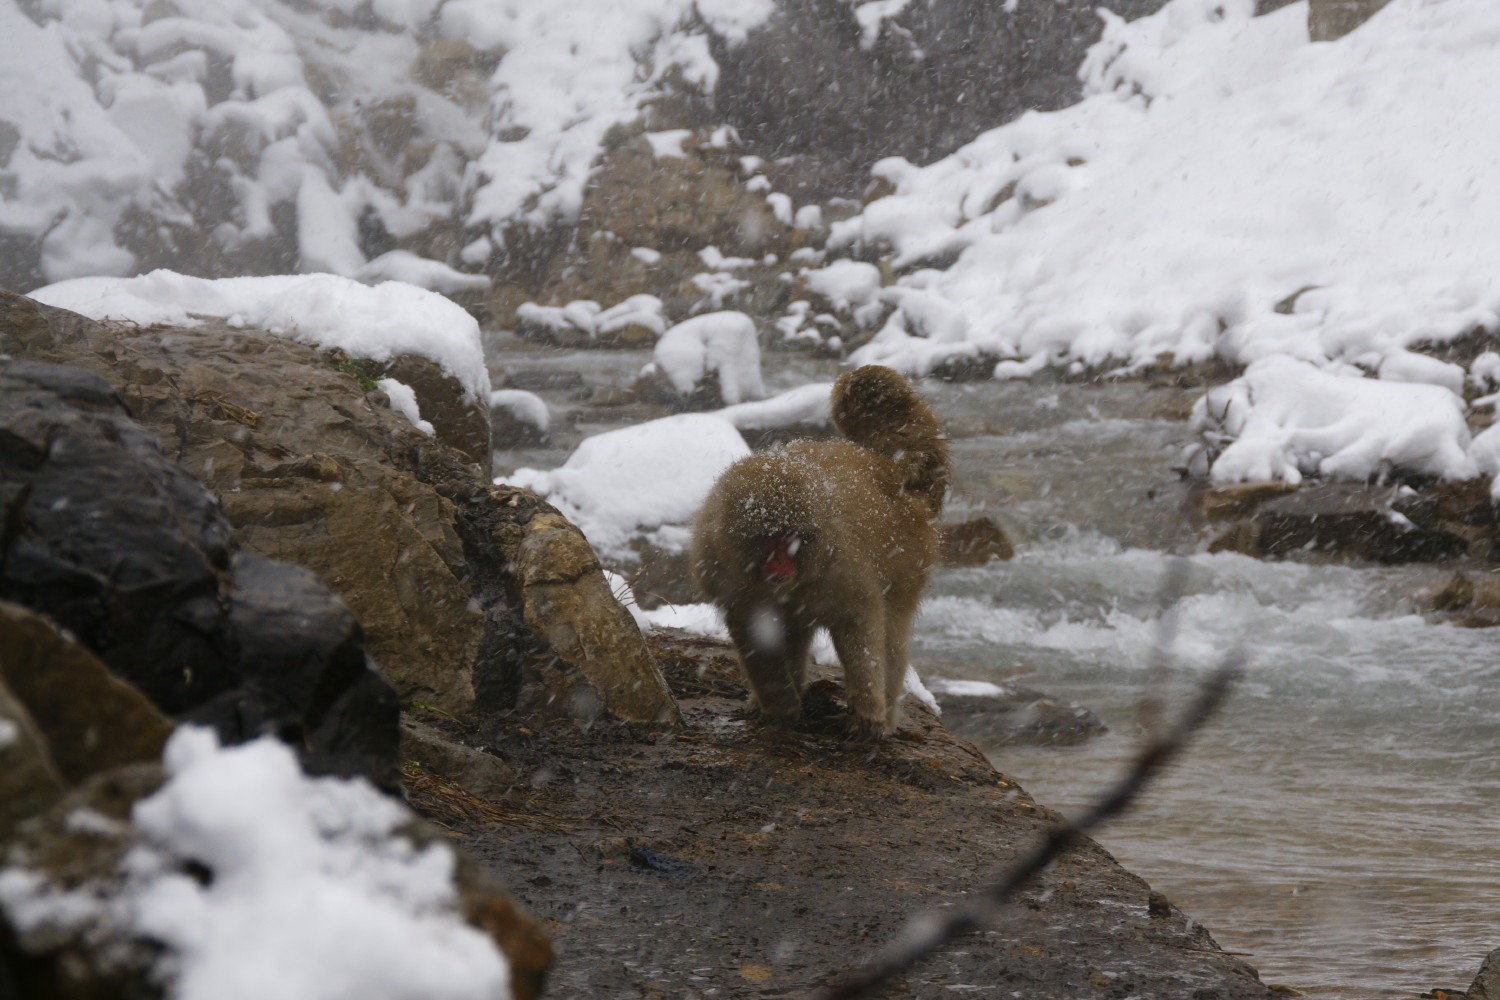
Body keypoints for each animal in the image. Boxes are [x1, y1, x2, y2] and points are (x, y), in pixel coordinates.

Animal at [690, 364, 948, 740]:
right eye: (767, 539)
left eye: (791, 540)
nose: (780, 564)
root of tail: (894, 469)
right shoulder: (722, 569)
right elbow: (754, 631)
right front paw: (780, 706)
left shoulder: (841, 565)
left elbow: (860, 623)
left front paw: (867, 712)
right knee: (794, 627)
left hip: (912, 557)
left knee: (892, 631)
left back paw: (885, 715)